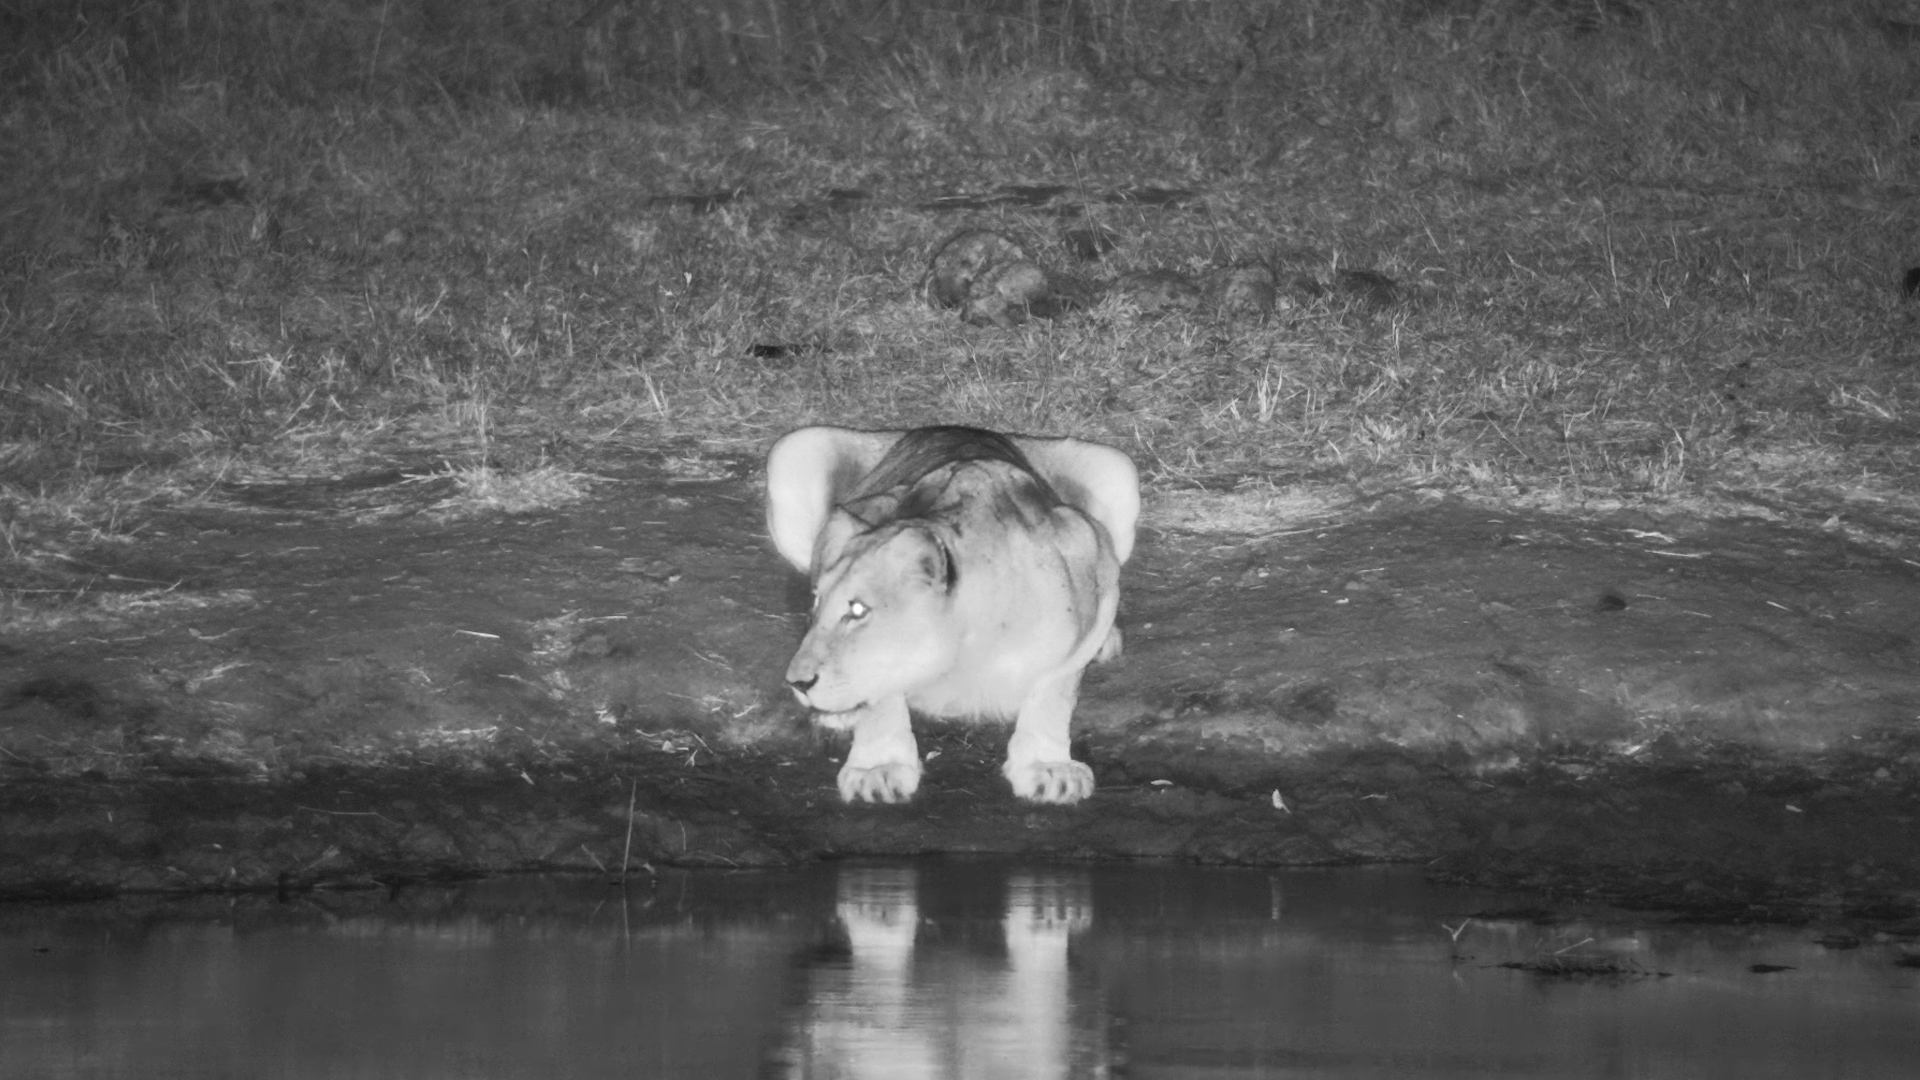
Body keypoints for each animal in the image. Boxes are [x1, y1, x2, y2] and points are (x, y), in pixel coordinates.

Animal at [766, 424, 1139, 805]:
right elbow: (882, 688)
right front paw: (878, 768)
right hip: (794, 448)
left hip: (1117, 468)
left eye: (857, 610)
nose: (796, 682)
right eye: (816, 601)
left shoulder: (1091, 547)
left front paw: (1048, 768)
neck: (964, 650)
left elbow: (1055, 687)